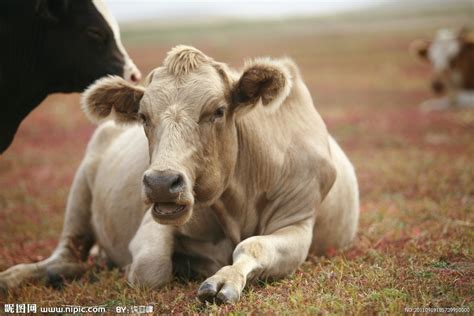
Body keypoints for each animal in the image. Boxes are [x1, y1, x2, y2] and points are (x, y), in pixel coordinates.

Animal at [0, 46, 360, 304]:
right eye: (143, 116)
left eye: (217, 111)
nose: (161, 182)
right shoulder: (153, 222)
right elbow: (151, 266)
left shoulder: (298, 224)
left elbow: (254, 246)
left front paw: (224, 278)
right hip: (80, 191)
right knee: (66, 256)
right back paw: (17, 277)